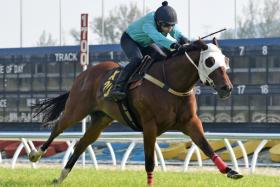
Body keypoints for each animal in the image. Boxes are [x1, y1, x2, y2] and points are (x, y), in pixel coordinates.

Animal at [29, 38, 243, 186]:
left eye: (225, 60)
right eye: (210, 61)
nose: (227, 88)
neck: (171, 83)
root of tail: (85, 73)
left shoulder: (190, 122)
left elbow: (207, 146)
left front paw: (230, 171)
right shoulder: (149, 125)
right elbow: (149, 161)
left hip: (101, 119)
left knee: (82, 144)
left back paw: (61, 176)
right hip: (76, 109)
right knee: (58, 127)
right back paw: (36, 154)